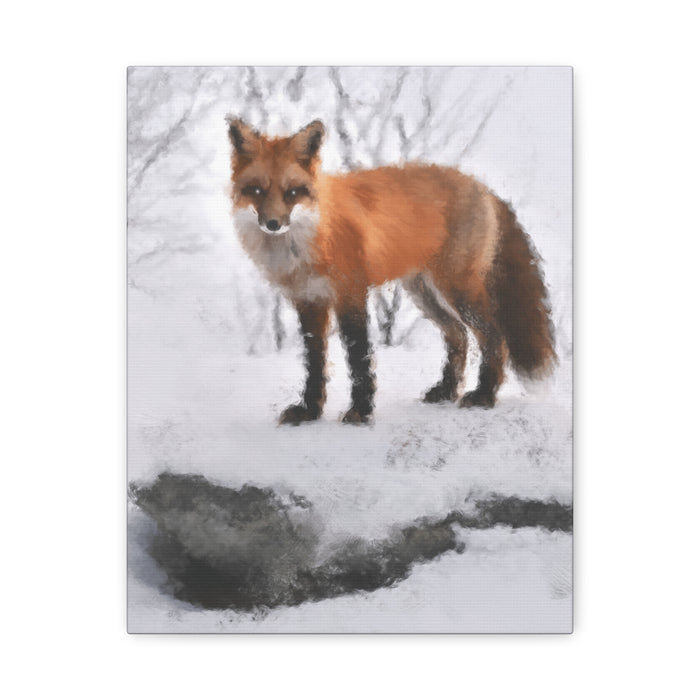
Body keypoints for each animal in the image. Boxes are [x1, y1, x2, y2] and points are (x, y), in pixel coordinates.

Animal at [227, 117, 556, 425]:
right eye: (257, 190)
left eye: (292, 192)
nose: (273, 224)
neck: (310, 239)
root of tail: (482, 186)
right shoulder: (309, 300)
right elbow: (314, 362)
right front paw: (309, 411)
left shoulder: (350, 293)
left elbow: (358, 358)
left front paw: (360, 411)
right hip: (425, 294)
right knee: (458, 336)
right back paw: (447, 391)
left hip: (458, 290)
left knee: (494, 338)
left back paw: (484, 395)